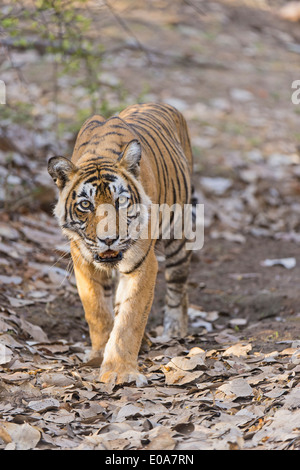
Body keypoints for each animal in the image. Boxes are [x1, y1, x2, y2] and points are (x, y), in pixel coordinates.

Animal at [47, 103, 195, 386]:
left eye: (121, 201)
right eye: (86, 205)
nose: (108, 239)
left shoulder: (142, 264)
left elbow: (130, 318)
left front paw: (119, 370)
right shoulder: (83, 262)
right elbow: (97, 312)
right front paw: (98, 355)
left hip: (179, 234)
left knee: (178, 284)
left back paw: (175, 330)